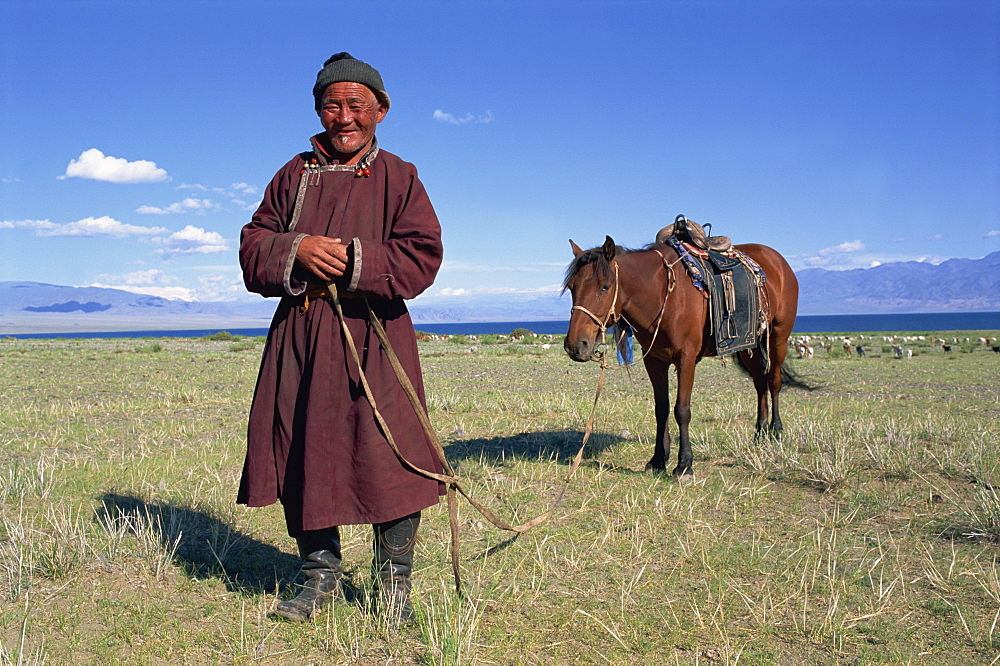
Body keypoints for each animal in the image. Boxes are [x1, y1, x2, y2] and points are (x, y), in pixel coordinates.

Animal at [564, 236, 804, 474]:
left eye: (605, 287)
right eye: (571, 287)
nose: (576, 346)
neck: (664, 295)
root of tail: (778, 261)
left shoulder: (686, 359)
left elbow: (682, 410)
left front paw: (684, 465)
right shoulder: (654, 361)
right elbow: (661, 409)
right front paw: (658, 460)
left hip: (778, 338)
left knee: (774, 383)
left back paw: (776, 431)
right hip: (749, 346)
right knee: (760, 384)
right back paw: (760, 433)